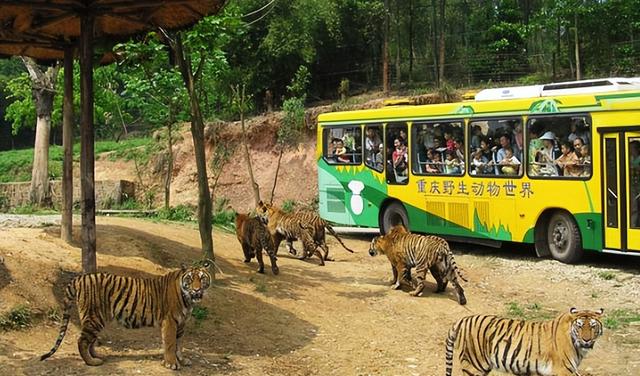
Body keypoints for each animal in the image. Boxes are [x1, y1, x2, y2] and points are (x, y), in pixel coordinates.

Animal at [40, 260, 215, 368]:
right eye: (190, 279)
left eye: (202, 279)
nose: (197, 290)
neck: (188, 300)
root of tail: (79, 278)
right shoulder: (170, 321)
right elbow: (171, 344)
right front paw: (171, 364)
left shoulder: (181, 323)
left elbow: (179, 344)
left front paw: (183, 361)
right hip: (94, 317)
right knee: (82, 340)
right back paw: (92, 362)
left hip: (94, 319)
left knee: (89, 340)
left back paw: (97, 356)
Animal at [444, 306, 604, 374]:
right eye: (580, 326)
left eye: (593, 326)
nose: (586, 340)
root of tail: (463, 320)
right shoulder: (564, 370)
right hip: (474, 365)